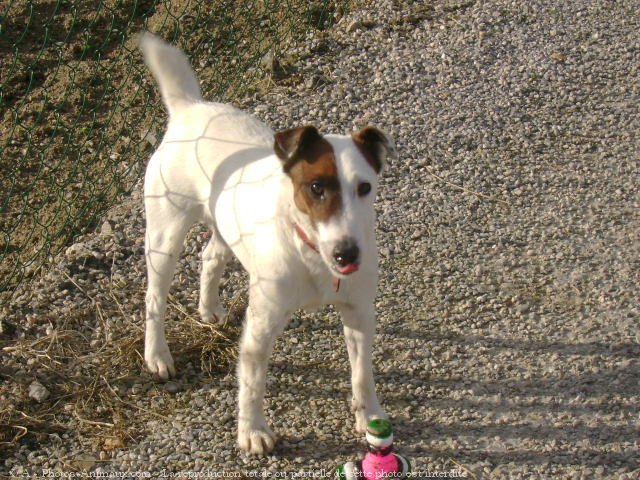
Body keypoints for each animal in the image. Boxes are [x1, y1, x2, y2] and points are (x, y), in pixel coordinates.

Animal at [139, 32, 396, 454]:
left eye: (364, 187)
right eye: (315, 187)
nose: (347, 253)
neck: (310, 252)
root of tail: (189, 108)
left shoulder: (358, 311)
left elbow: (362, 372)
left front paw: (369, 415)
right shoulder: (262, 325)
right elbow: (252, 381)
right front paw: (252, 430)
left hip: (224, 226)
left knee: (209, 257)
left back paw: (209, 309)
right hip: (165, 236)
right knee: (154, 297)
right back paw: (157, 354)